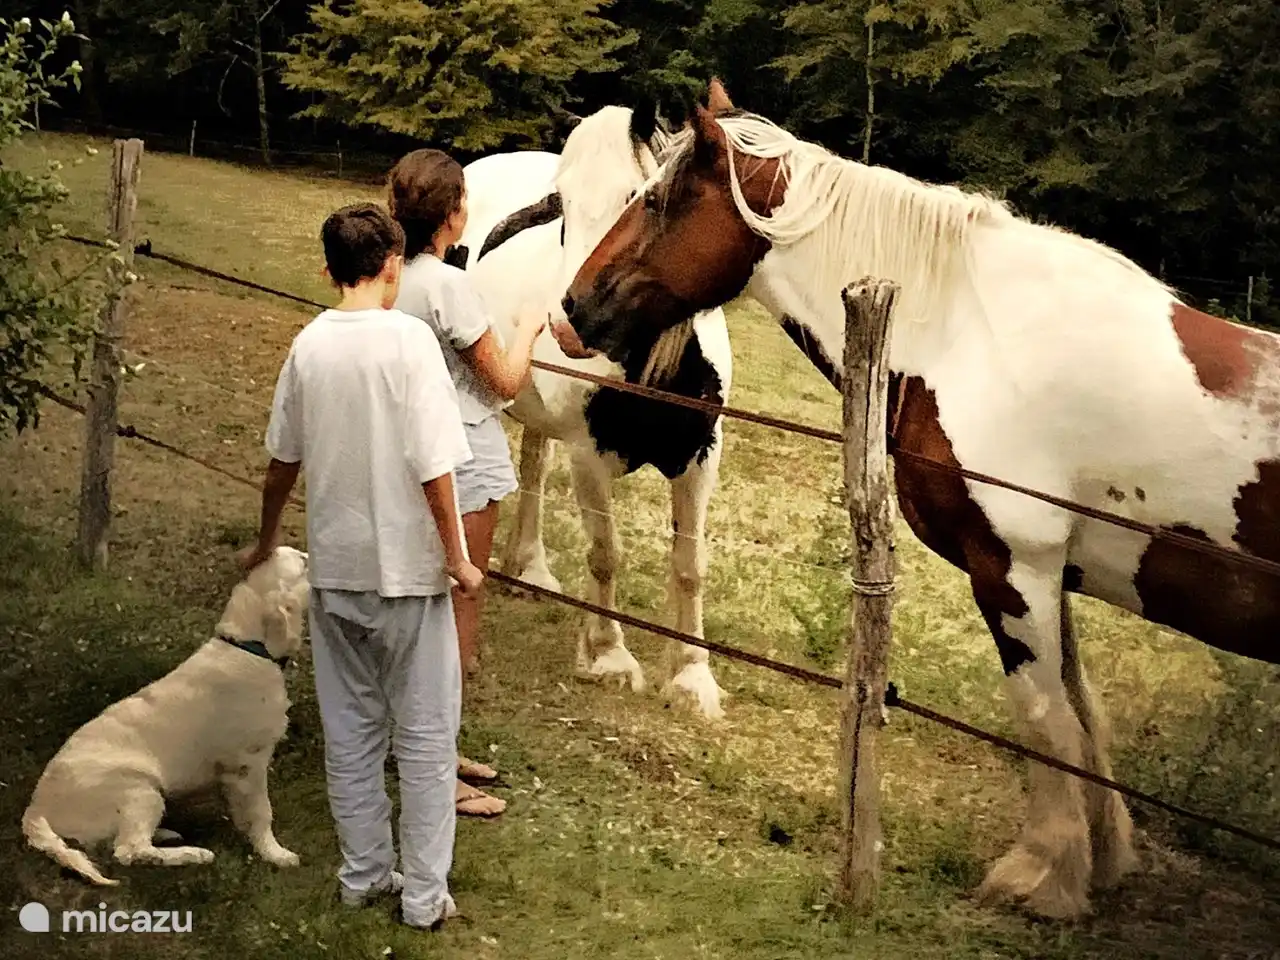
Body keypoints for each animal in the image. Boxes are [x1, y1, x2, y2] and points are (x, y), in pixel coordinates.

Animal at [452, 103, 733, 720]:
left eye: (636, 197)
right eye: (561, 209)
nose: (568, 323)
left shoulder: (701, 459)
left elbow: (691, 565)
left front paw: (693, 675)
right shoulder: (587, 457)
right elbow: (606, 553)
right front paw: (608, 655)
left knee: (533, 466)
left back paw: (529, 567)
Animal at [557, 78, 1280, 919]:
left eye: (655, 199)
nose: (575, 308)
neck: (970, 331)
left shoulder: (1013, 569)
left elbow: (1044, 718)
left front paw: (1042, 878)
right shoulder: (1051, 574)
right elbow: (1079, 717)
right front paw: (1096, 859)